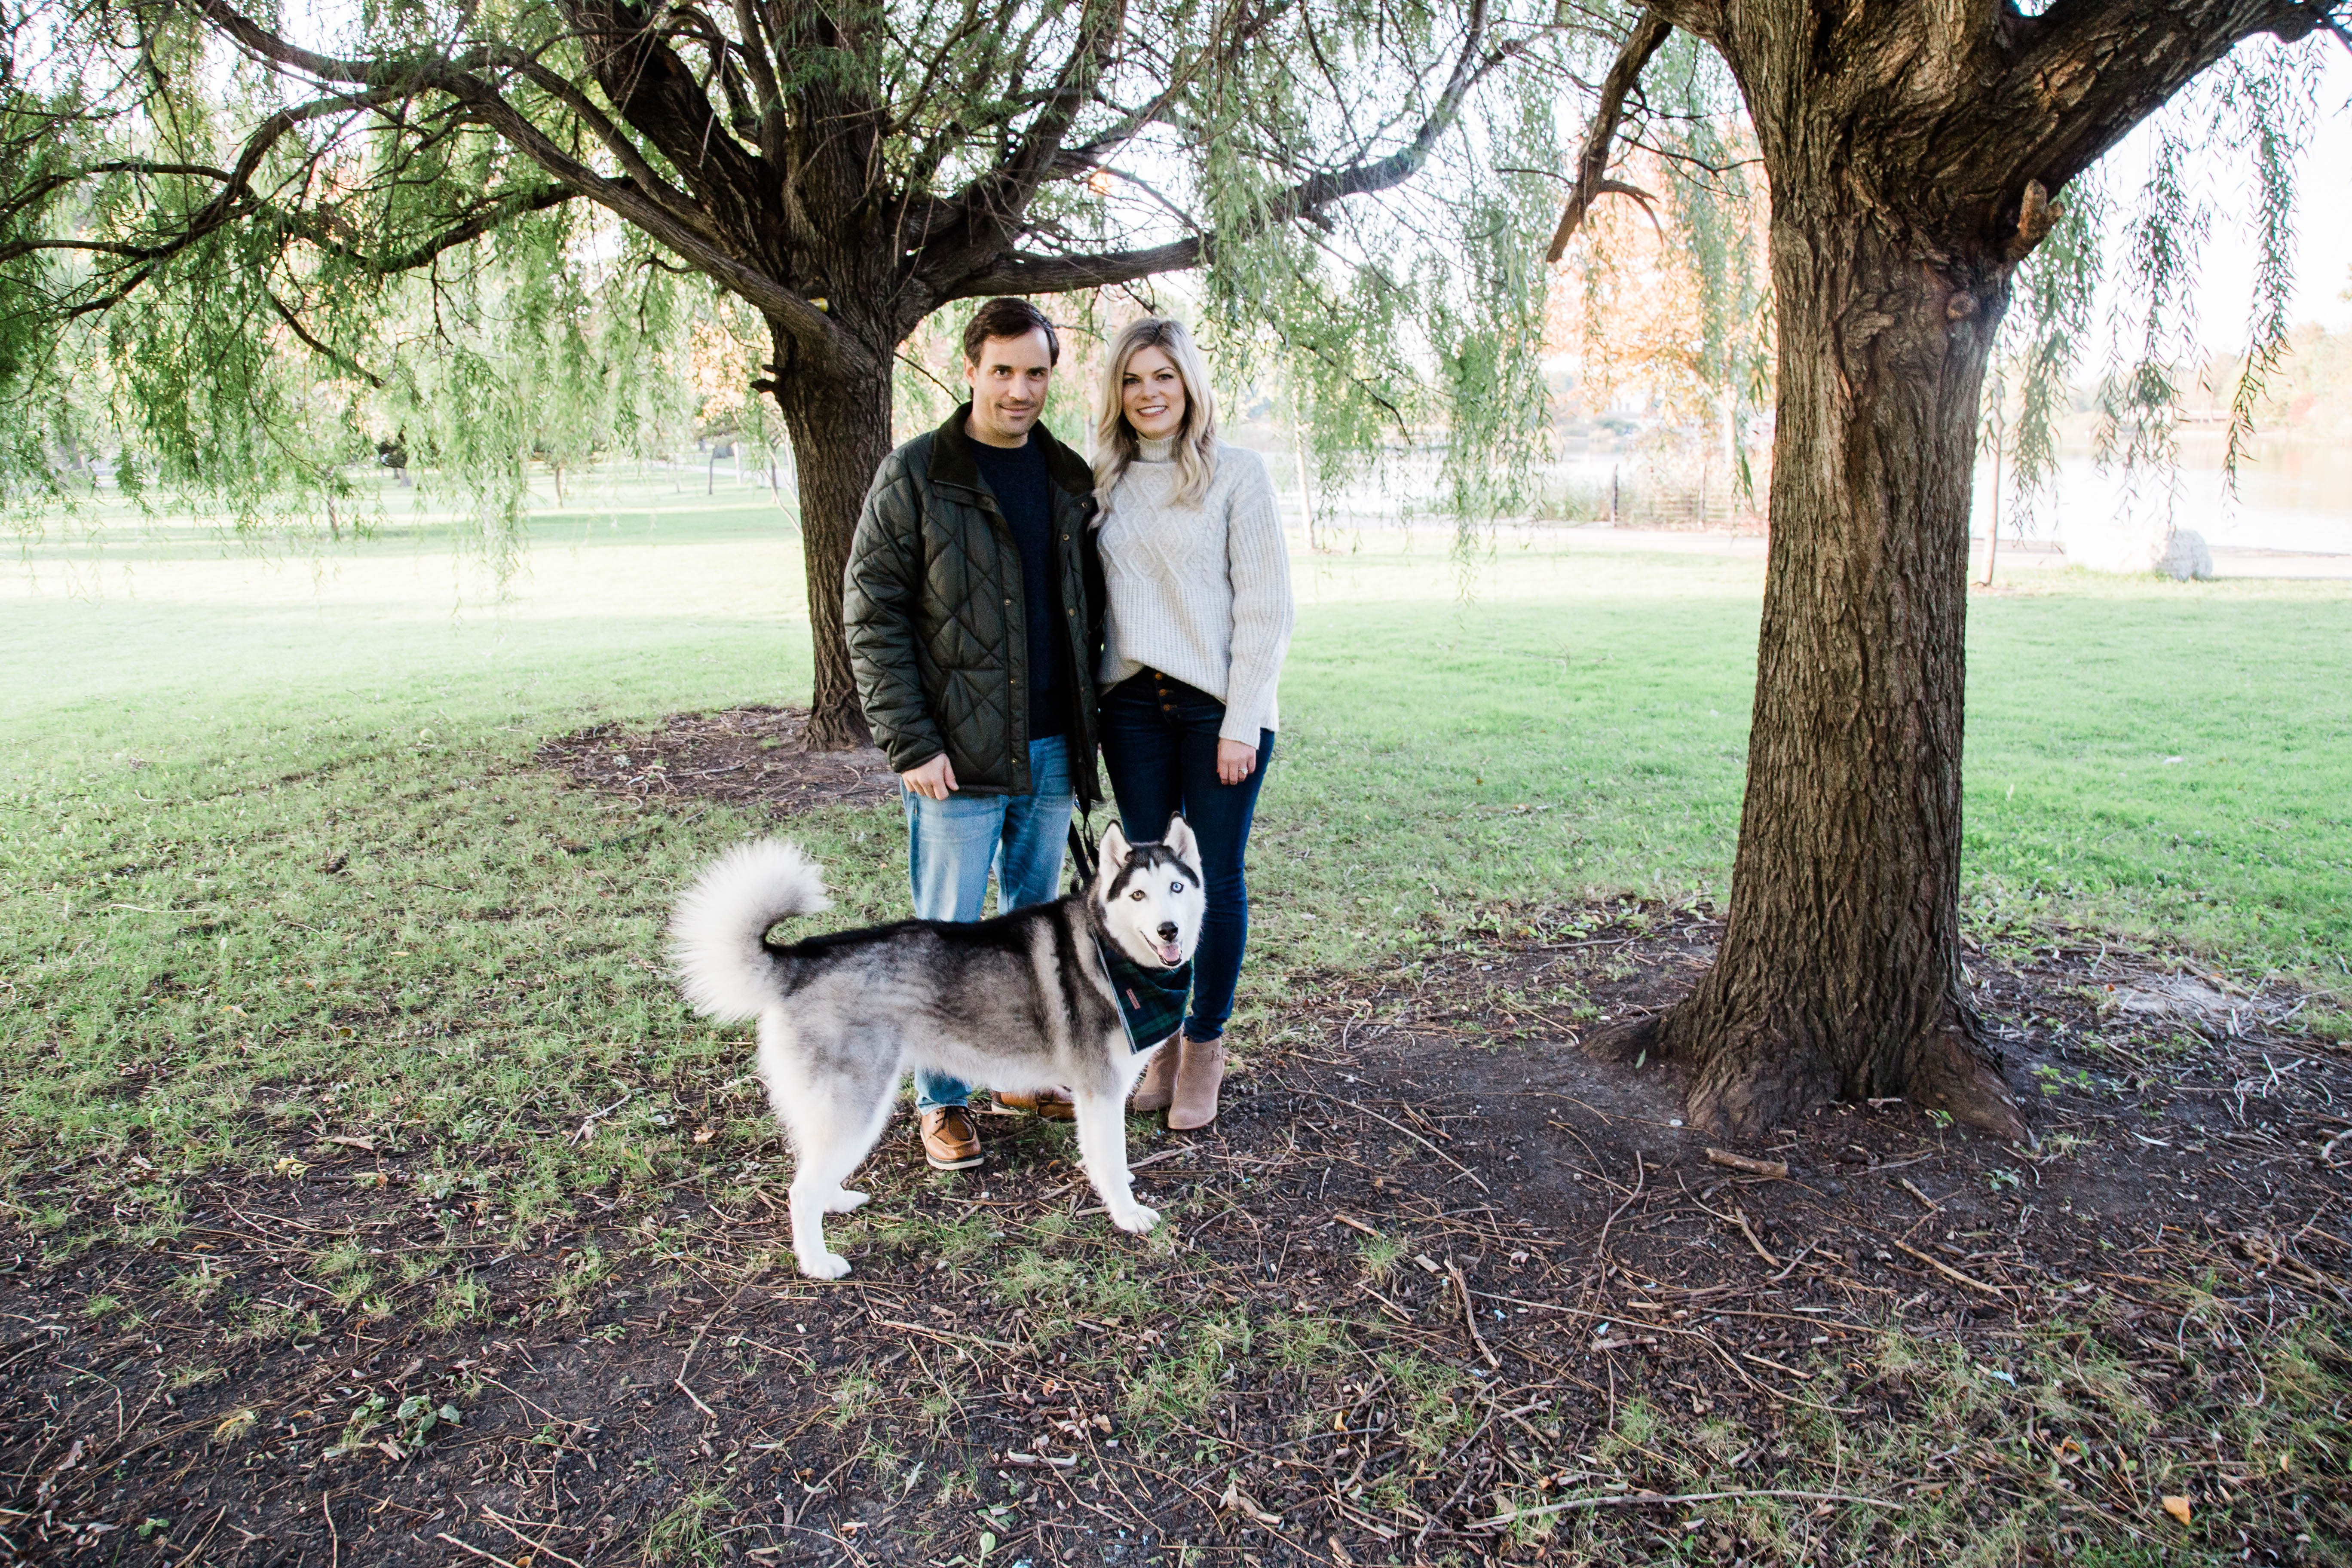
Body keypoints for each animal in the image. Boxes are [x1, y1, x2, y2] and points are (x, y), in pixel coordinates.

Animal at [672, 823, 1204, 1279]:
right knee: (800, 1191)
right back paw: (818, 1263)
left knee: (811, 1165)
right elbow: (1110, 1159)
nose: (1169, 931)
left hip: (828, 1107)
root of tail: (799, 961)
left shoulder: (1096, 1096)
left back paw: (835, 1199)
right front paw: (1127, 1214)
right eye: (1138, 895)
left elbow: (1104, 1156)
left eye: (1176, 888)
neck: (1109, 949)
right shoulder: (1101, 1091)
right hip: (858, 1107)